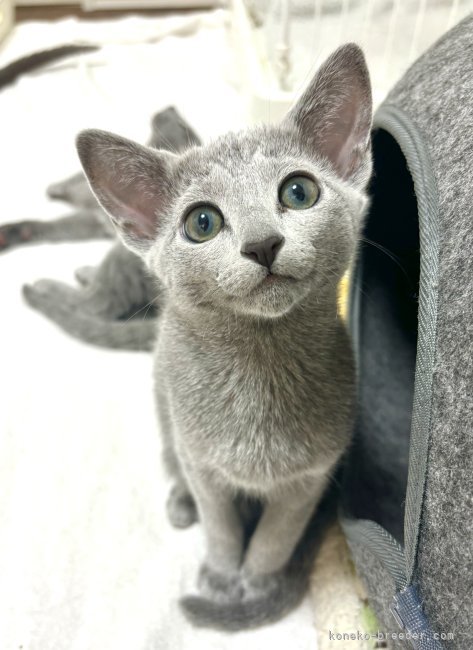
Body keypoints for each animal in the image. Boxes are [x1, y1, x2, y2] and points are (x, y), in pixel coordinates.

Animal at [75, 42, 373, 629]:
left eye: (299, 192)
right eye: (202, 223)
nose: (262, 244)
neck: (261, 367)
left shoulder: (310, 478)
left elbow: (276, 536)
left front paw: (257, 580)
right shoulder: (204, 464)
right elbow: (221, 525)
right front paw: (219, 574)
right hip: (167, 408)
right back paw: (178, 502)